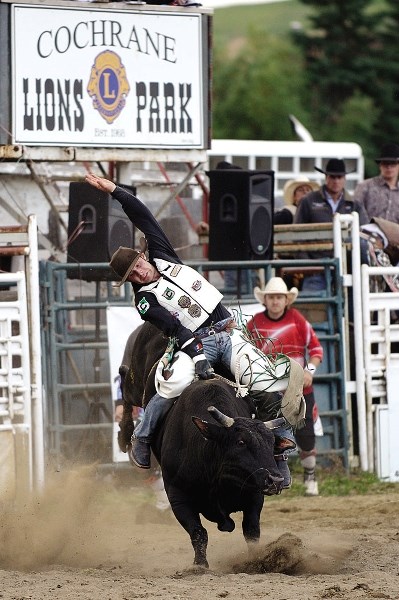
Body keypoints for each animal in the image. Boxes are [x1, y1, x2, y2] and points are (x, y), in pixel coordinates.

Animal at [119, 324, 290, 568]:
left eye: (272, 443)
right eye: (240, 442)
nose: (274, 479)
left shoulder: (254, 495)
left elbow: (251, 531)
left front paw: (256, 561)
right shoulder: (177, 497)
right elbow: (198, 532)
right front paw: (200, 565)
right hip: (136, 383)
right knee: (124, 382)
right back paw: (126, 438)